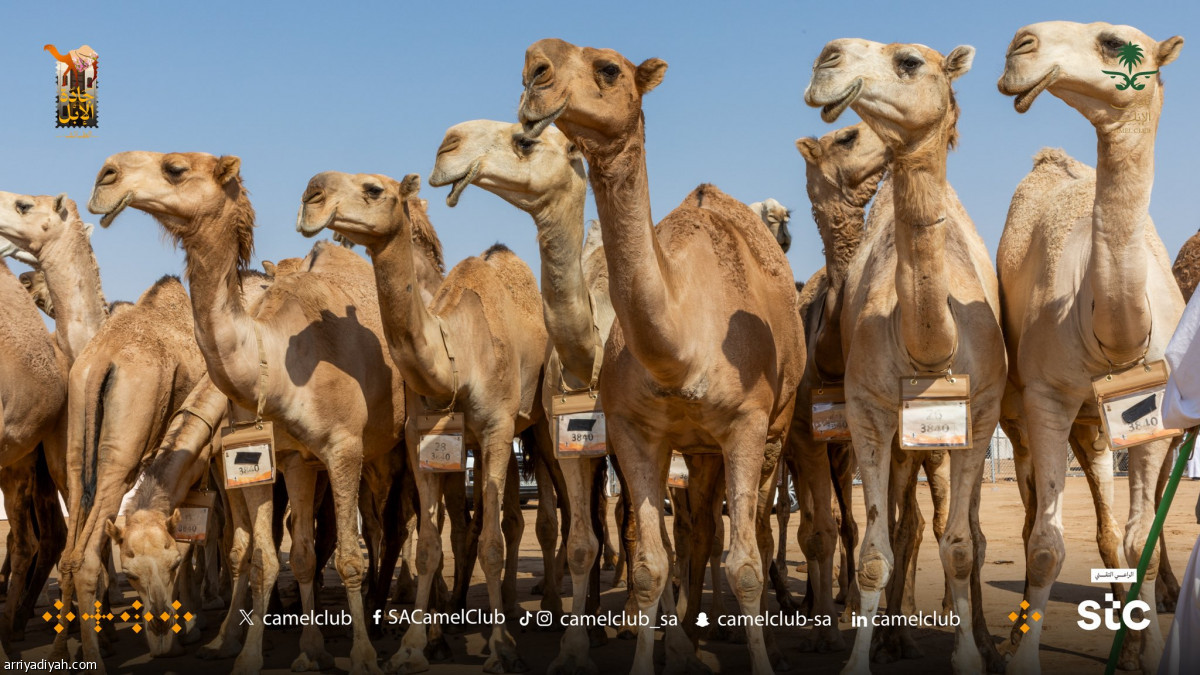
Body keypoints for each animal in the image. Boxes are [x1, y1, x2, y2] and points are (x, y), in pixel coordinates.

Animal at [88, 152, 408, 672]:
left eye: (175, 168)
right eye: (129, 573)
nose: (105, 177)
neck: (276, 362)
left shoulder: (343, 449)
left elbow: (347, 556)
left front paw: (360, 655)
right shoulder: (274, 459)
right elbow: (269, 556)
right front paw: (265, 650)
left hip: (398, 447)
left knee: (398, 525)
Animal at [300, 170, 549, 667]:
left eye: (374, 189)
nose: (312, 194)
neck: (457, 355)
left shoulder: (498, 430)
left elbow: (490, 542)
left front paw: (500, 647)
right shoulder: (423, 441)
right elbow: (431, 544)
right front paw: (414, 645)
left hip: (541, 425)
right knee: (491, 519)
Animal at [518, 38, 806, 672]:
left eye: (609, 69)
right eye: (528, 68)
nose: (534, 71)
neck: (682, 350)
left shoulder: (746, 425)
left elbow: (745, 564)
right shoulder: (634, 430)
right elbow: (652, 563)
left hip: (775, 429)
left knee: (754, 527)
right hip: (696, 449)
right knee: (698, 530)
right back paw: (691, 634)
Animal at [806, 39, 1012, 667]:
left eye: (910, 61)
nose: (828, 57)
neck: (928, 351)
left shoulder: (980, 411)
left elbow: (963, 545)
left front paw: (969, 657)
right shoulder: (867, 413)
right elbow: (875, 551)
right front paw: (857, 659)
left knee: (959, 526)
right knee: (902, 520)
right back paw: (892, 633)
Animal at [998, 22, 1185, 672]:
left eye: (1113, 42)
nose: (1021, 44)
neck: (1115, 336)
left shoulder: (1152, 413)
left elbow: (1137, 539)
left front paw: (1144, 652)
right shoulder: (1048, 397)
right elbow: (1045, 547)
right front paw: (1022, 658)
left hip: (1097, 422)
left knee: (1107, 525)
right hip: (1026, 414)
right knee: (1030, 509)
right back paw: (1011, 635)